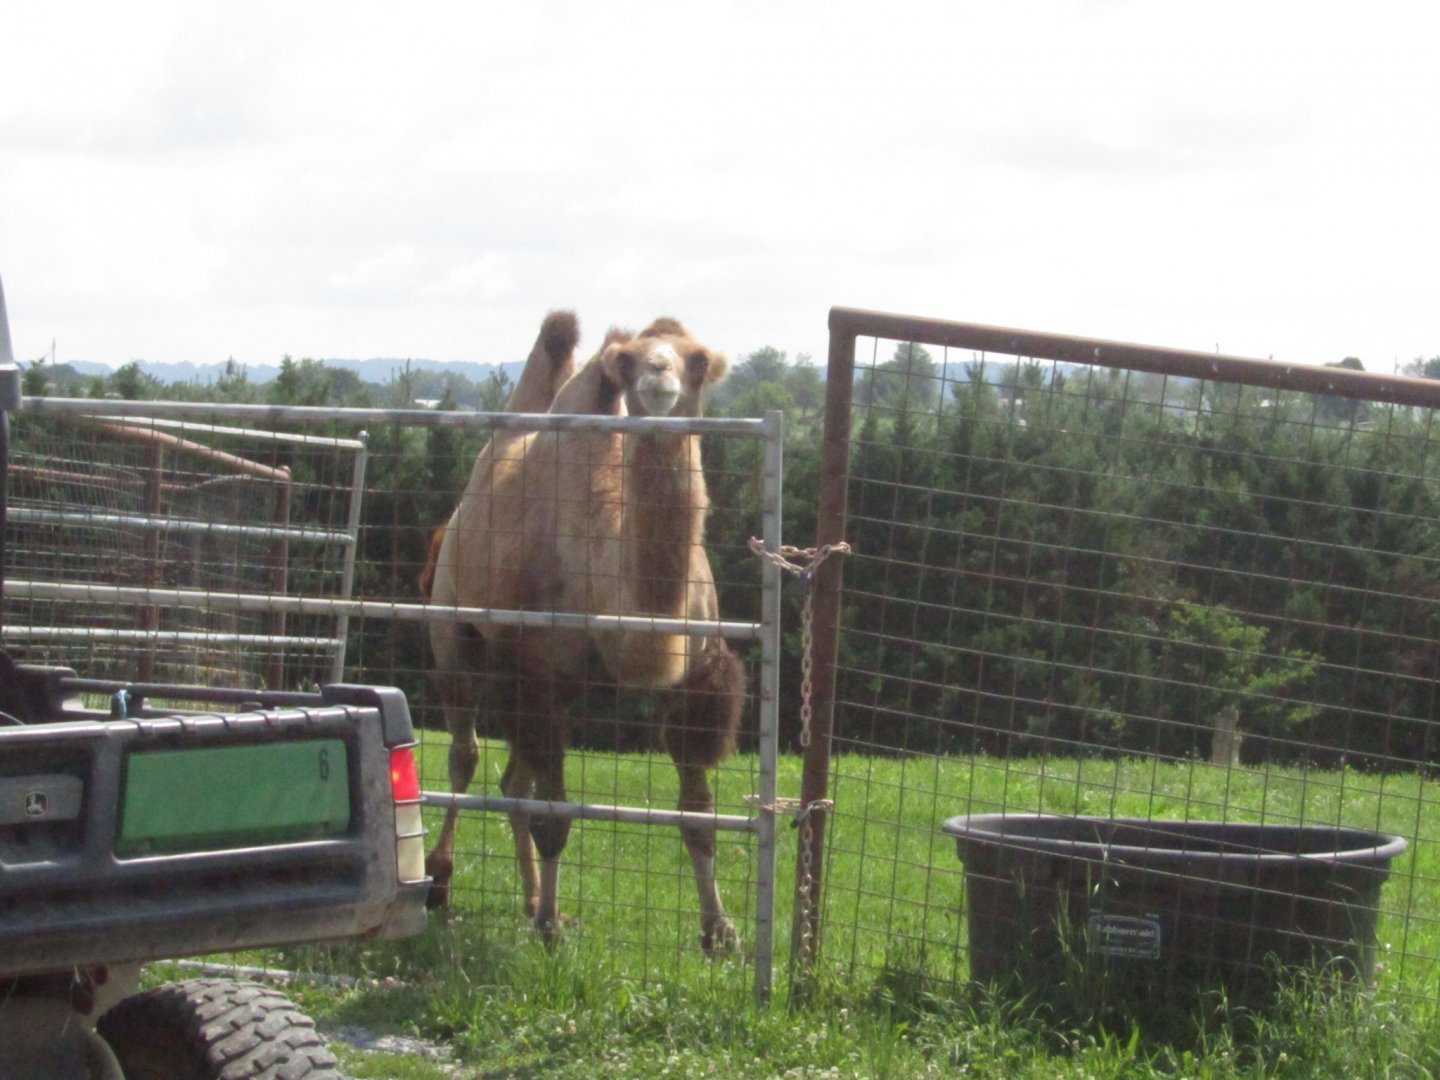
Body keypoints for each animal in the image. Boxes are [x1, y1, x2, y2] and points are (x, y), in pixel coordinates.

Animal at [423, 314, 745, 955]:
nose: (658, 375)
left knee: (512, 777)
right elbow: (555, 815)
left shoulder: (690, 677)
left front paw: (720, 933)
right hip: (456, 632)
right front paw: (550, 929)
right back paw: (443, 882)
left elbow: (698, 814)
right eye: (629, 360)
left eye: (697, 361)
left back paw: (527, 899)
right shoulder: (542, 670)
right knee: (465, 754)